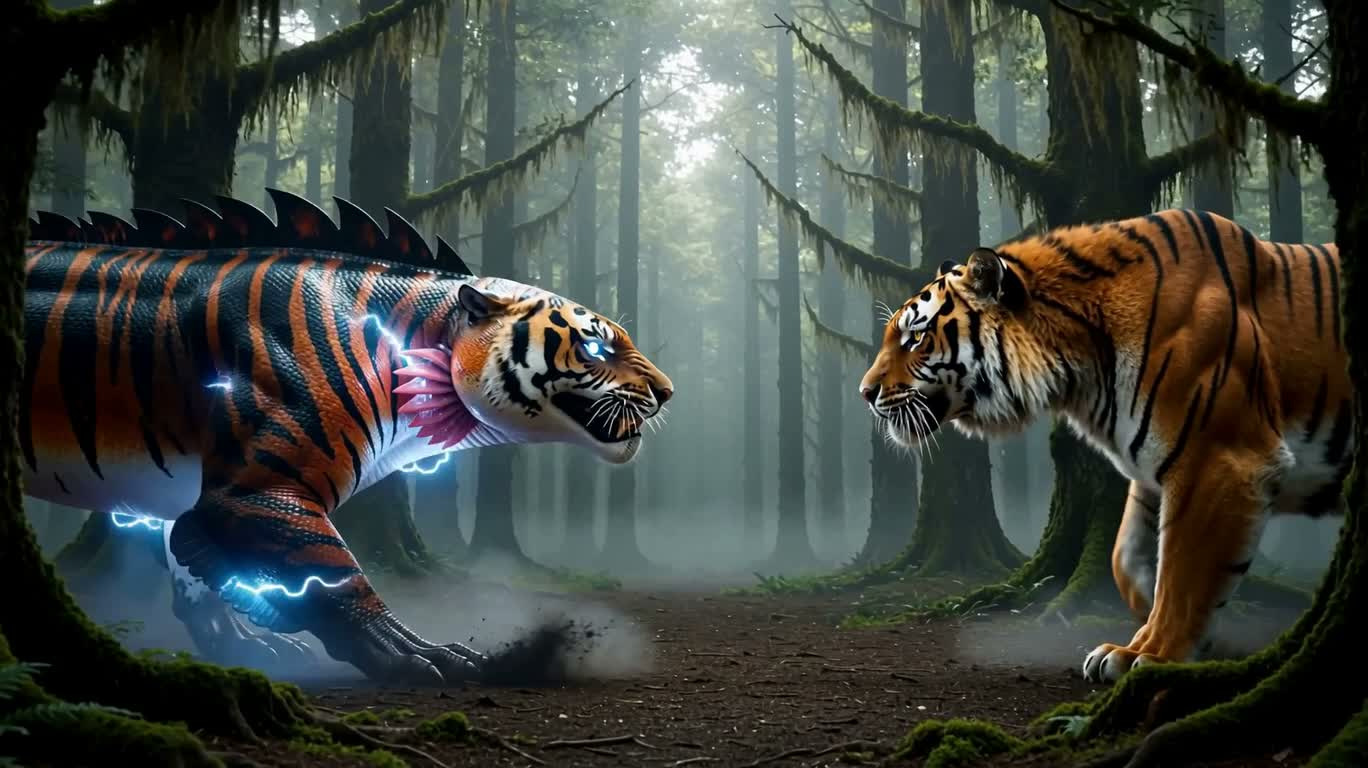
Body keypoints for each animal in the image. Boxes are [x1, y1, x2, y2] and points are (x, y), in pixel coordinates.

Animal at [21, 190, 673, 685]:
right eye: (596, 346)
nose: (668, 391)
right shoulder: (256, 491)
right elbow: (333, 569)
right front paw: (414, 655)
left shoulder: (182, 489)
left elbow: (196, 576)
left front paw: (251, 646)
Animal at [857, 208, 1350, 683]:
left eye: (915, 337)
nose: (864, 393)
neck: (1081, 368)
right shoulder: (1155, 466)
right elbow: (1127, 558)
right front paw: (1158, 630)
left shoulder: (1219, 458)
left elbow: (1184, 572)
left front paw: (1153, 655)